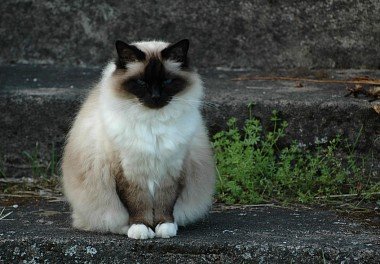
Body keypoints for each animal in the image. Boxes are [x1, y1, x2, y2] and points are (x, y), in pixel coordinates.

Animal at [62, 38, 217, 239]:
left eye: (167, 81)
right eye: (141, 82)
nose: (155, 96)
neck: (153, 123)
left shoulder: (171, 170)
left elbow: (165, 203)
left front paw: (164, 227)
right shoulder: (128, 171)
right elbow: (137, 204)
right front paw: (141, 229)